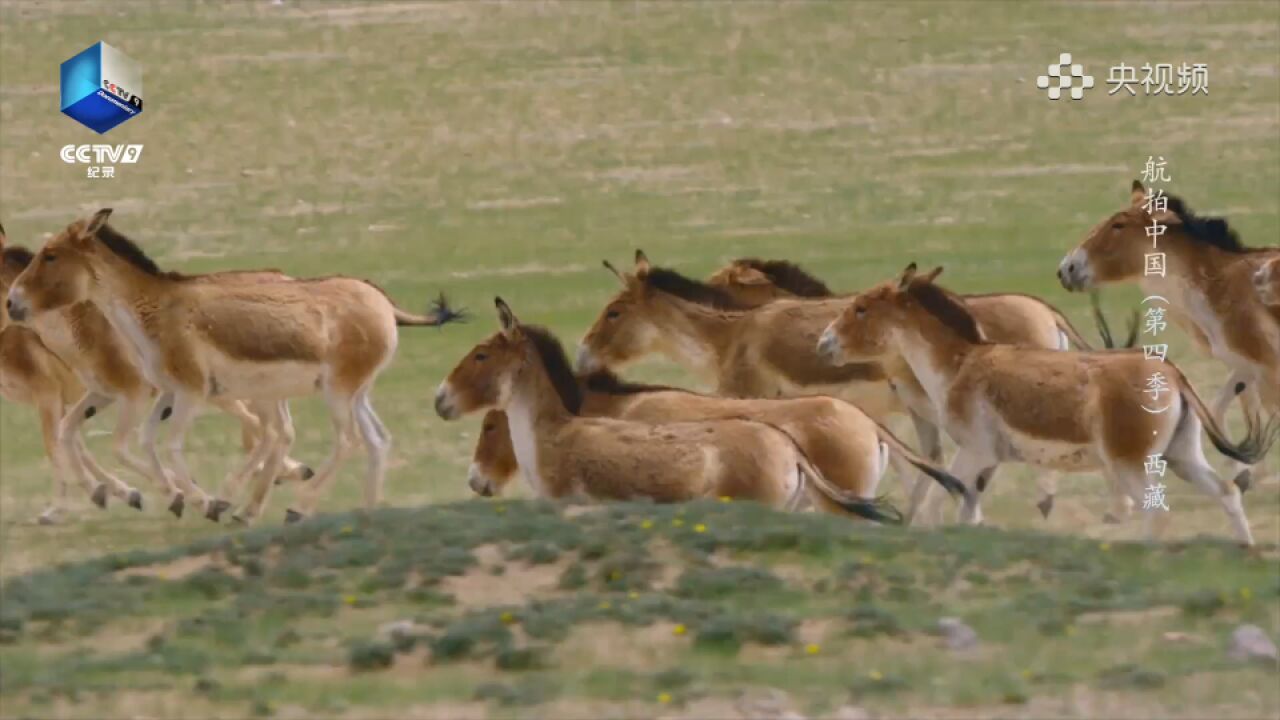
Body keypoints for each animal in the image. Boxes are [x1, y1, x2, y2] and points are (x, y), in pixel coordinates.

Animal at [819, 266, 1269, 540]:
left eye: (861, 308)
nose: (824, 343)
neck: (961, 363)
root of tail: (1172, 374)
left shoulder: (975, 451)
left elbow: (935, 507)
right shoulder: (984, 459)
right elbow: (967, 510)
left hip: (1132, 464)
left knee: (1157, 514)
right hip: (1181, 455)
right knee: (1227, 493)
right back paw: (1243, 549)